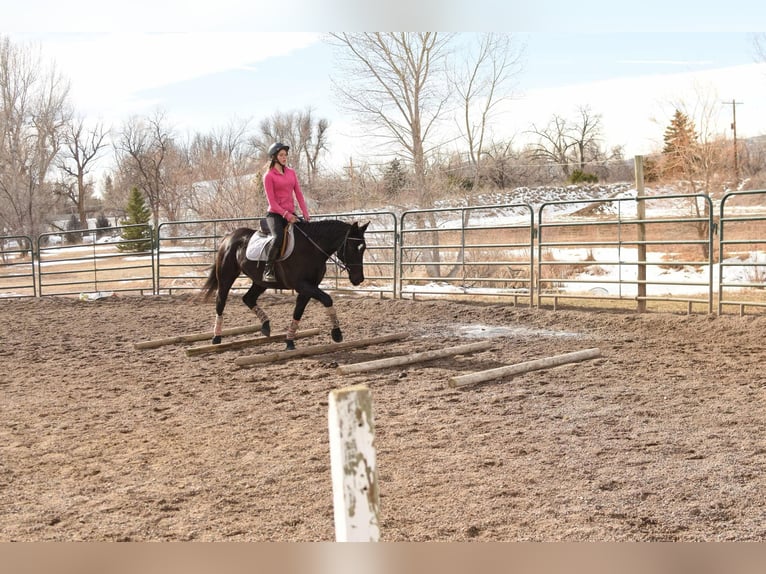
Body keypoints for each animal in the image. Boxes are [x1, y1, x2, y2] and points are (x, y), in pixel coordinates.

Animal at [201, 218, 368, 348]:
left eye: (363, 248)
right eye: (352, 247)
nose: (358, 279)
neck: (312, 249)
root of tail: (228, 237)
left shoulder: (308, 288)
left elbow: (298, 311)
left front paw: (289, 341)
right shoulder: (302, 285)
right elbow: (327, 299)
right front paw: (337, 334)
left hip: (260, 282)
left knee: (248, 298)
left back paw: (266, 326)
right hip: (226, 277)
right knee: (221, 301)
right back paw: (216, 338)